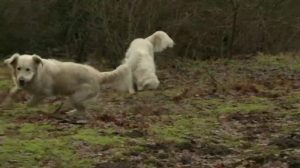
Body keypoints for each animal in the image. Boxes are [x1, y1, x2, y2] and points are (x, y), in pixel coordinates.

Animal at [1, 53, 132, 114]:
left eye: (28, 69)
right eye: (18, 68)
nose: (21, 80)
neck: (36, 75)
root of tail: (98, 74)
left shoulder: (43, 93)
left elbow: (30, 103)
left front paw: (23, 109)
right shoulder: (21, 86)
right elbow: (13, 92)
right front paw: (6, 104)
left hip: (76, 96)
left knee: (83, 110)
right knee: (83, 109)